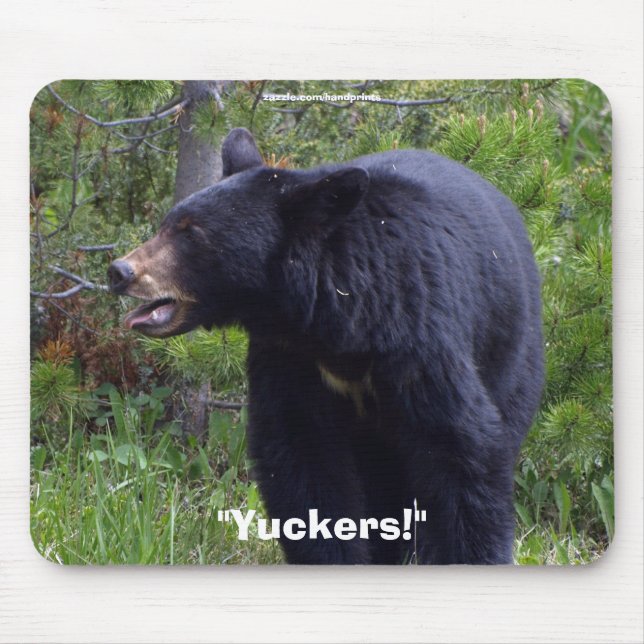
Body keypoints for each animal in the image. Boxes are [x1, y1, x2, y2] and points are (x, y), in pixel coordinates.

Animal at [108, 127, 544, 565]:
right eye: (166, 223)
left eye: (191, 233)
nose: (121, 271)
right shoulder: (288, 357)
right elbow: (302, 456)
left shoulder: (418, 331)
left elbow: (459, 444)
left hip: (513, 355)